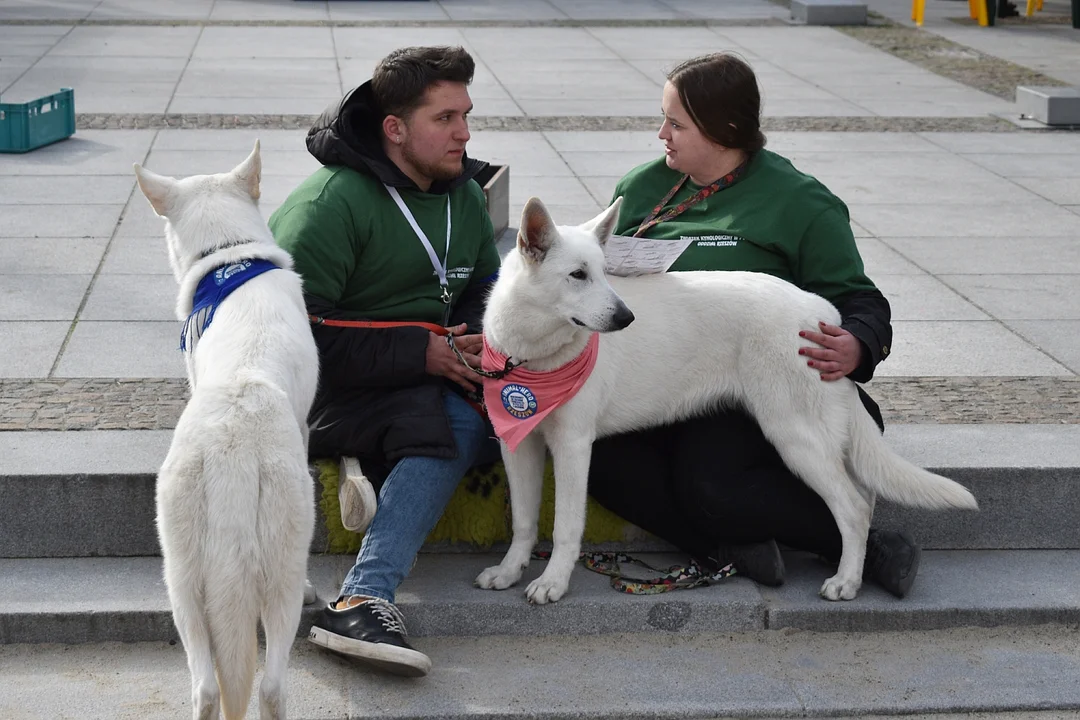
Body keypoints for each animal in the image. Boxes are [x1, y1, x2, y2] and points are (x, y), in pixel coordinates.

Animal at [133, 142, 317, 720]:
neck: (229, 254)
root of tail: (234, 453)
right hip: (282, 564)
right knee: (272, 685)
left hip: (181, 576)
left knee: (207, 686)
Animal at [477, 198, 976, 608]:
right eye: (579, 275)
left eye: (603, 273)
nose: (626, 317)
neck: (535, 355)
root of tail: (826, 314)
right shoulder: (518, 444)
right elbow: (524, 522)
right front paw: (510, 570)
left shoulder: (573, 446)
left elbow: (564, 527)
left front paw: (553, 583)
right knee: (864, 498)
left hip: (793, 436)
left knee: (852, 507)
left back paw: (847, 581)